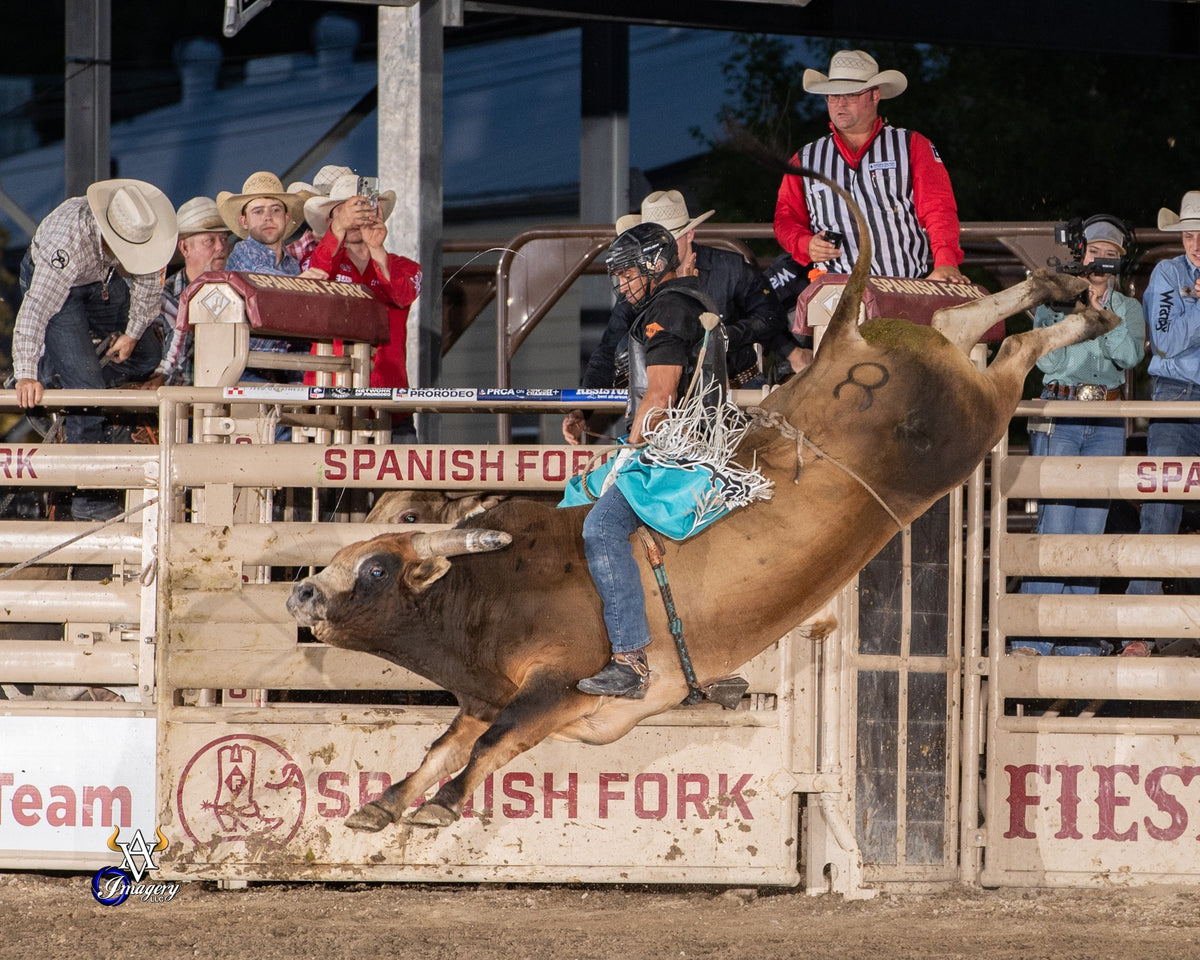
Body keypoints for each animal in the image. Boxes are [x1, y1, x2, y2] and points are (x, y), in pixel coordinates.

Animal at [288, 176, 1113, 835]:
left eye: (374, 570)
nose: (302, 592)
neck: (487, 592)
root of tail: (842, 347)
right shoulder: (486, 697)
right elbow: (445, 744)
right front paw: (386, 801)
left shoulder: (554, 687)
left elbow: (492, 745)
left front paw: (440, 807)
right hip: (938, 372)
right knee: (954, 325)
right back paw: (1065, 294)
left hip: (969, 424)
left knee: (1010, 358)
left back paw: (1080, 315)